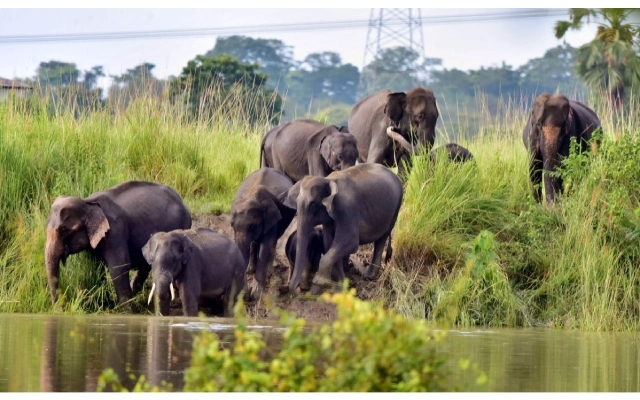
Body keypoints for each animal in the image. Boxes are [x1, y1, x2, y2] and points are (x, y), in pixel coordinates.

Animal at [44, 180, 192, 307]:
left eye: (63, 231)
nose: (60, 309)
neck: (87, 203)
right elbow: (95, 267)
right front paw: (104, 303)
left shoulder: (115, 231)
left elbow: (118, 267)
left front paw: (126, 310)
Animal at [231, 167, 296, 297]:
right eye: (231, 225)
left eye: (252, 226)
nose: (245, 293)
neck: (252, 196)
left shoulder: (272, 218)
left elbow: (265, 248)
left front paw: (255, 293)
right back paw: (251, 269)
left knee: (273, 242)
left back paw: (269, 271)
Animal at [279, 163, 403, 292]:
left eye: (313, 205)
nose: (298, 288)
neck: (328, 180)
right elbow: (329, 242)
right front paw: (340, 288)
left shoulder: (346, 208)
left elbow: (350, 241)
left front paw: (320, 281)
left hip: (397, 207)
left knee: (381, 239)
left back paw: (369, 276)